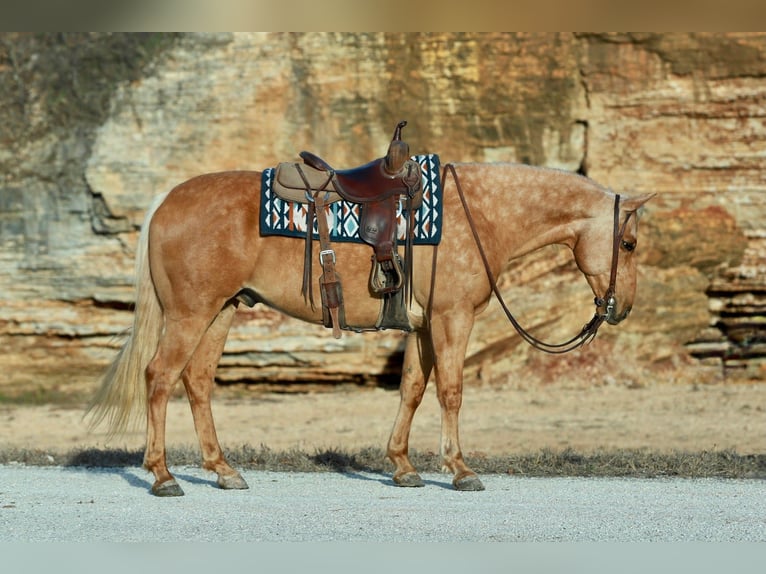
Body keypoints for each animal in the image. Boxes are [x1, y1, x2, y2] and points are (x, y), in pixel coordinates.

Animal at [87, 159, 653, 496]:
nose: (621, 307)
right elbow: (450, 391)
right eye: (628, 244)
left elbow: (412, 390)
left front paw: (402, 466)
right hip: (190, 313)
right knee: (159, 378)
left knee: (197, 382)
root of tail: (166, 200)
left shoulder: (422, 327)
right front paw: (460, 469)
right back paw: (162, 475)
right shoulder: (452, 317)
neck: (481, 214)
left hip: (220, 310)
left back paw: (223, 470)